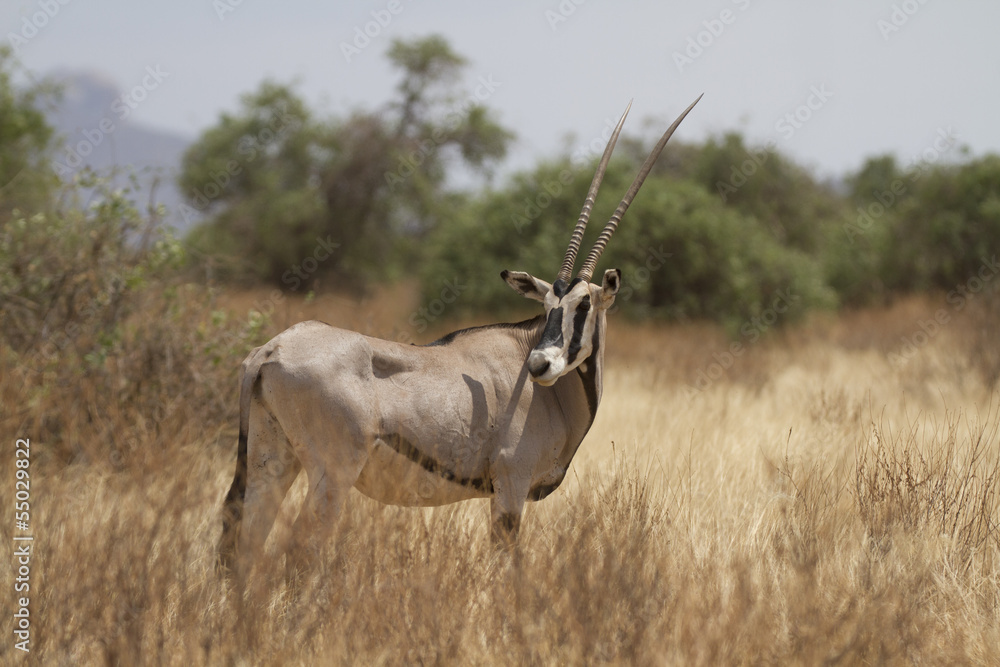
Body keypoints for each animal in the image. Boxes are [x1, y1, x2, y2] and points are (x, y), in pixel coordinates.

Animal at [218, 95, 702, 578]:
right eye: (549, 306)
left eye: (582, 305)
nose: (540, 365)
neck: (552, 394)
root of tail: (270, 350)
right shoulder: (510, 486)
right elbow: (505, 566)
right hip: (332, 472)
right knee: (300, 548)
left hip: (272, 461)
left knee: (243, 539)